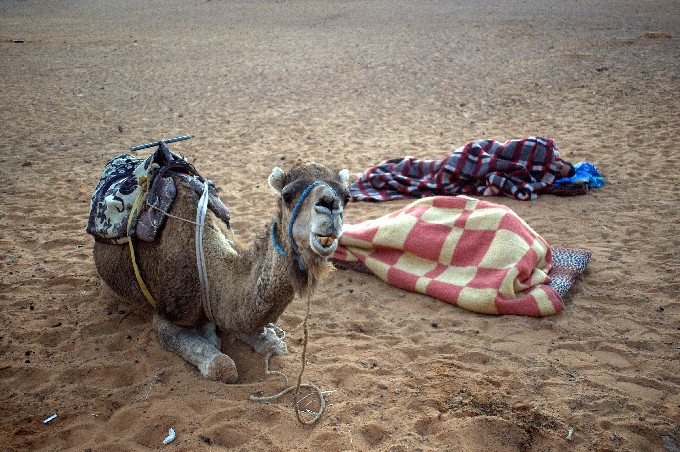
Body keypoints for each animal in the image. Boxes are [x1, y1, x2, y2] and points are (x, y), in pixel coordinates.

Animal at [94, 162, 350, 382]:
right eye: (287, 195)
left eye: (346, 197)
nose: (329, 204)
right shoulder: (166, 317)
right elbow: (223, 366)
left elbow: (275, 345)